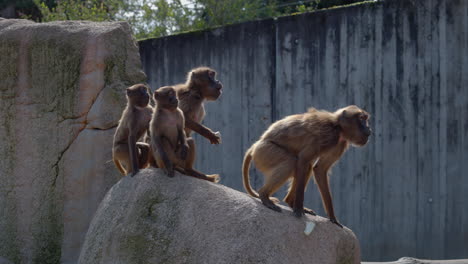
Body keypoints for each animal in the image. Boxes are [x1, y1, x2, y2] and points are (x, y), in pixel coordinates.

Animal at [243, 105, 372, 227]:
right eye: (361, 118)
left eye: (366, 119)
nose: (369, 128)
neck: (338, 127)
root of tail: (255, 145)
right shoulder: (326, 136)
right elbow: (303, 160)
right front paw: (298, 209)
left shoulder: (340, 143)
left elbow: (319, 169)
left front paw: (333, 218)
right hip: (265, 152)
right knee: (292, 162)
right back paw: (265, 195)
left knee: (306, 166)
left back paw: (289, 201)